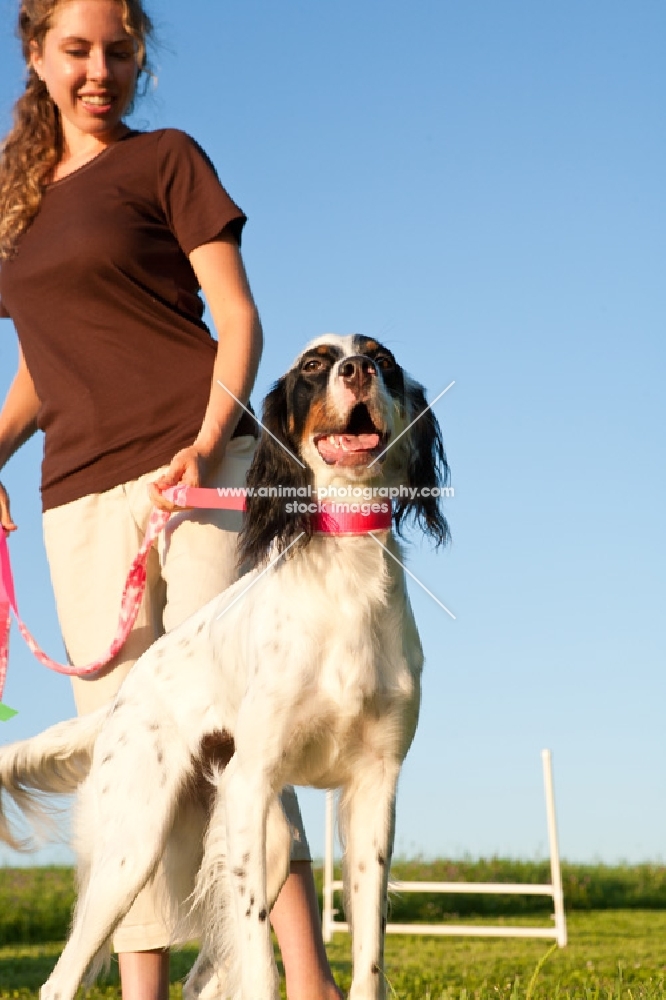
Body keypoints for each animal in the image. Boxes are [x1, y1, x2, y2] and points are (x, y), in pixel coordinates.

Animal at [0, 336, 448, 1000]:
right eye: (313, 365)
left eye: (385, 359)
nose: (358, 369)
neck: (345, 574)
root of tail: (127, 691)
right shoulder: (253, 780)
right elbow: (260, 962)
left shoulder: (374, 788)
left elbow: (368, 954)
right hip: (136, 846)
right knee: (61, 981)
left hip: (260, 838)